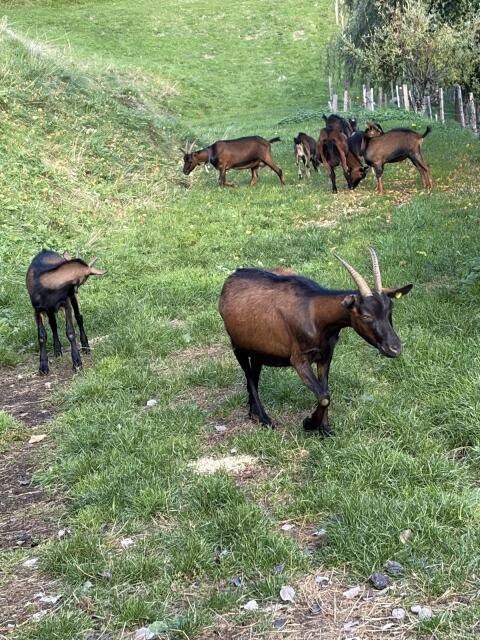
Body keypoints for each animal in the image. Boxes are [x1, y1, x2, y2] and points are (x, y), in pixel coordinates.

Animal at [219, 249, 412, 436]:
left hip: (258, 349)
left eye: (390, 310)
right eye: (365, 315)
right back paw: (264, 418)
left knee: (255, 373)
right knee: (249, 376)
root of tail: (232, 276)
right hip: (237, 345)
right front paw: (309, 423)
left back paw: (253, 412)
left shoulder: (326, 354)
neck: (315, 314)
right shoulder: (299, 359)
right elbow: (324, 396)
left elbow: (325, 390)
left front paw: (324, 429)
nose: (394, 348)